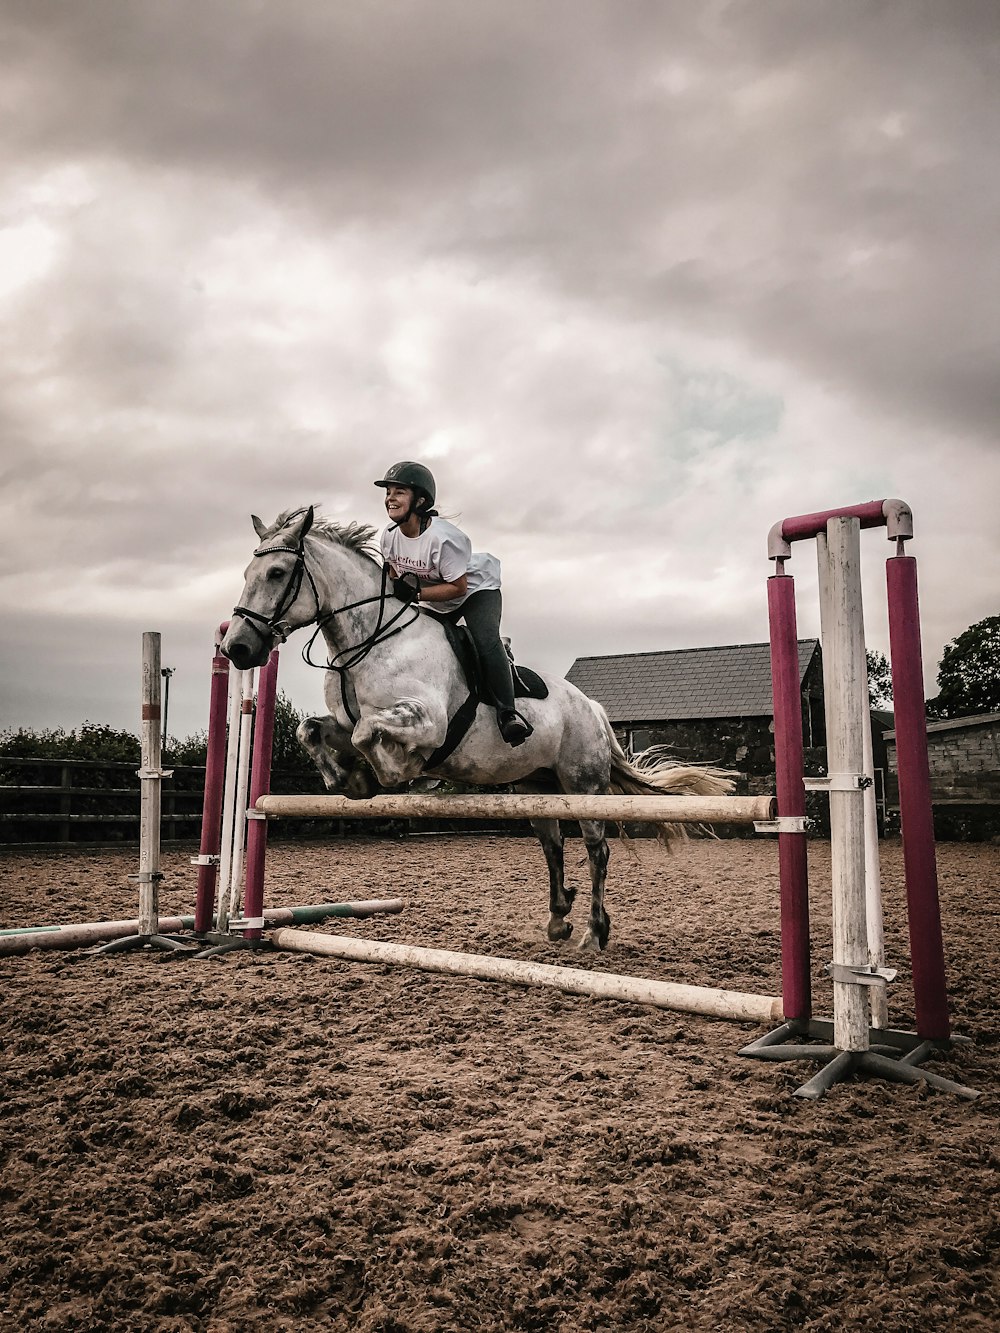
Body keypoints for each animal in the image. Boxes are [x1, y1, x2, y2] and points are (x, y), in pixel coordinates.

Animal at [222, 503, 730, 954]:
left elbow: (371, 734)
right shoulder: (343, 722)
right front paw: (350, 781)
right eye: (246, 574)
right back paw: (558, 918)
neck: (371, 640)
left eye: (276, 573)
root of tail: (593, 708)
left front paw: (397, 776)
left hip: (583, 783)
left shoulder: (426, 722)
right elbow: (312, 730)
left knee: (596, 849)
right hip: (535, 788)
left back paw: (594, 932)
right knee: (553, 844)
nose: (237, 649)